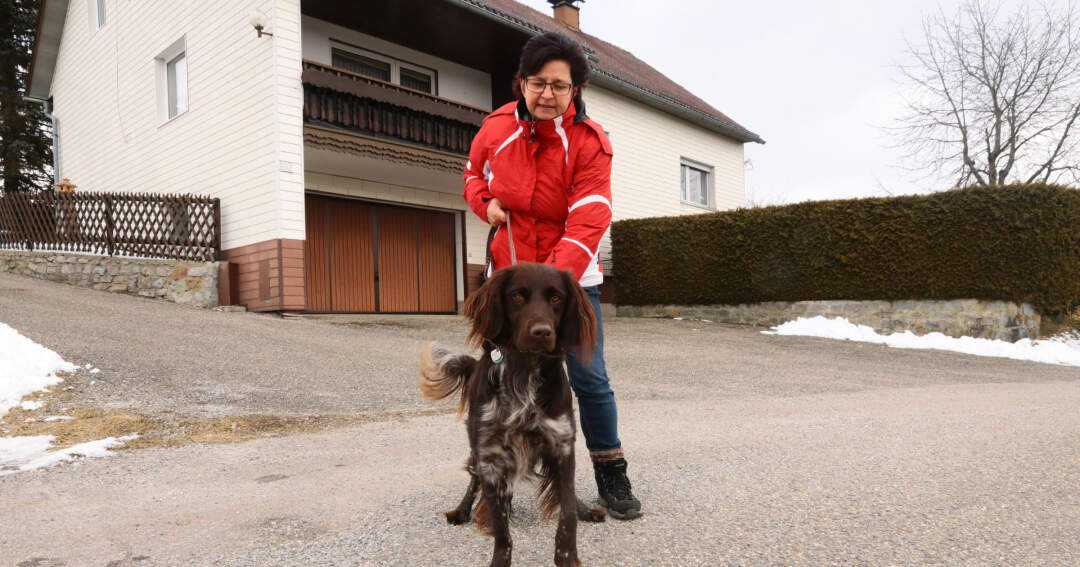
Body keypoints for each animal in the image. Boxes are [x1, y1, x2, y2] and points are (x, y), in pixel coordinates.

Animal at [419, 263, 609, 561]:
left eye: (557, 298)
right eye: (517, 295)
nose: (542, 332)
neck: (523, 371)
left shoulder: (562, 445)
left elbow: (567, 513)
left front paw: (568, 554)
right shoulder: (489, 456)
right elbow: (501, 532)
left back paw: (585, 509)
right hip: (477, 449)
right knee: (474, 481)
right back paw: (462, 510)